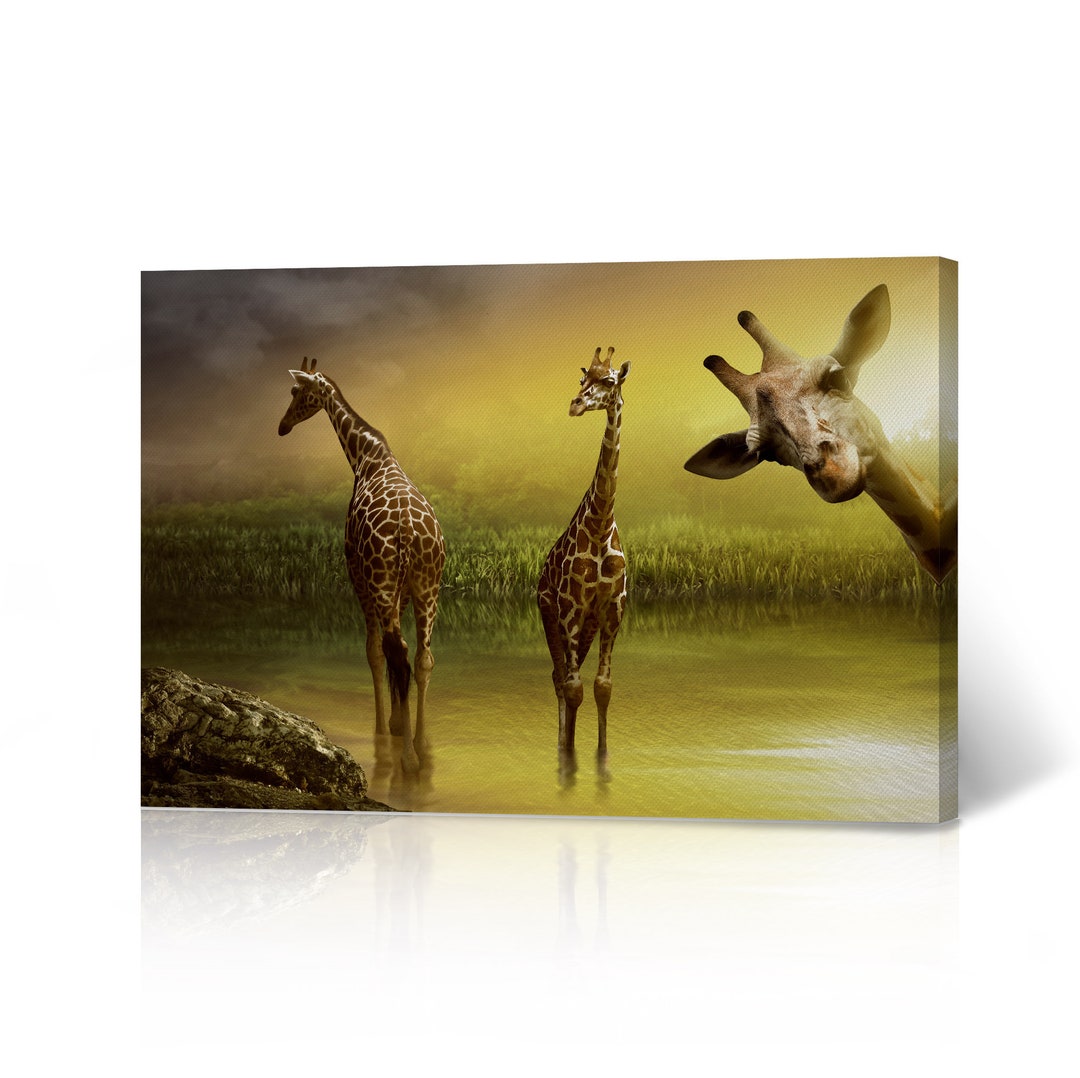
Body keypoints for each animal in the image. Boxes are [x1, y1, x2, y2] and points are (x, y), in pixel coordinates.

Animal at [277, 357, 445, 773]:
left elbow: (373, 650)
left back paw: (407, 758)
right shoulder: (403, 589)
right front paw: (399, 723)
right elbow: (396, 650)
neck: (364, 456)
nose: (283, 426)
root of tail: (408, 534)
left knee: (397, 655)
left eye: (297, 392)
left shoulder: (357, 571)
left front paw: (385, 728)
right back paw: (420, 745)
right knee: (422, 658)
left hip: (382, 582)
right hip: (429, 587)